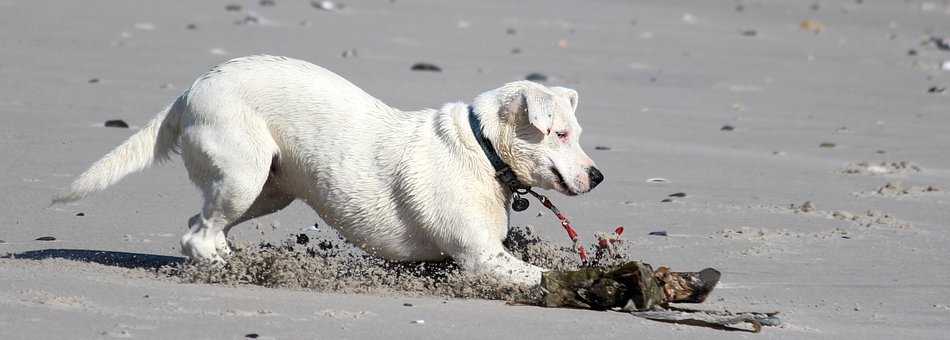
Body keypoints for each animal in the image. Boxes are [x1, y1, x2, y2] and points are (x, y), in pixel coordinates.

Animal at [54, 56, 604, 286]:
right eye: (559, 134)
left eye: (576, 132)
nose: (598, 177)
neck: (483, 148)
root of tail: (191, 90)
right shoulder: (482, 258)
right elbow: (546, 275)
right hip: (243, 176)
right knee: (199, 235)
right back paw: (237, 272)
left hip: (268, 188)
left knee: (200, 228)